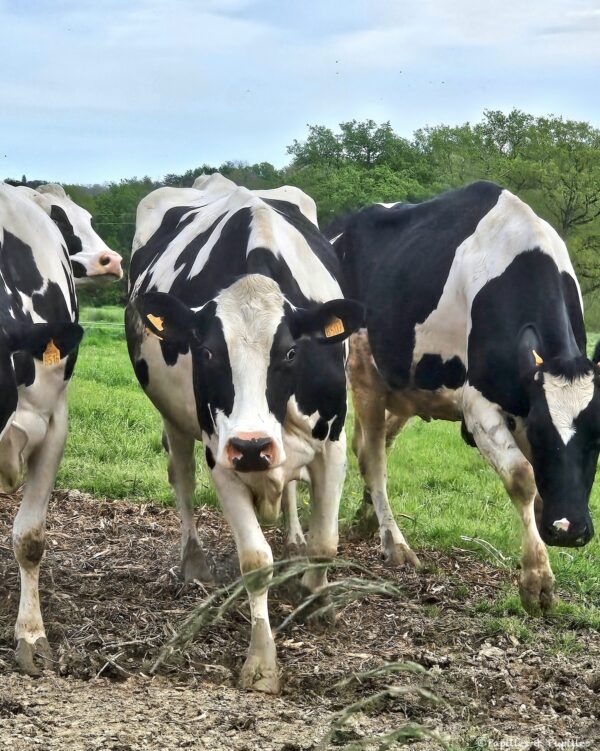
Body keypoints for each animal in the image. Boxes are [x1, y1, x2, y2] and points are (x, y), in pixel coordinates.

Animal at [125, 173, 363, 693]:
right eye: (207, 352)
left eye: (291, 352)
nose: (252, 446)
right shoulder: (223, 456)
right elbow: (255, 560)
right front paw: (261, 660)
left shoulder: (332, 443)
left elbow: (326, 543)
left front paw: (318, 599)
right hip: (176, 422)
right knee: (182, 478)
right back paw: (194, 563)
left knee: (291, 493)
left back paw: (293, 541)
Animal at [327, 181, 598, 614]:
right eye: (541, 433)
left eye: (598, 436)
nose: (568, 530)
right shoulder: (479, 407)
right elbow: (523, 477)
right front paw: (537, 578)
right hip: (364, 370)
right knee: (372, 456)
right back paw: (394, 543)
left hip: (407, 387)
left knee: (371, 443)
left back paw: (367, 518)